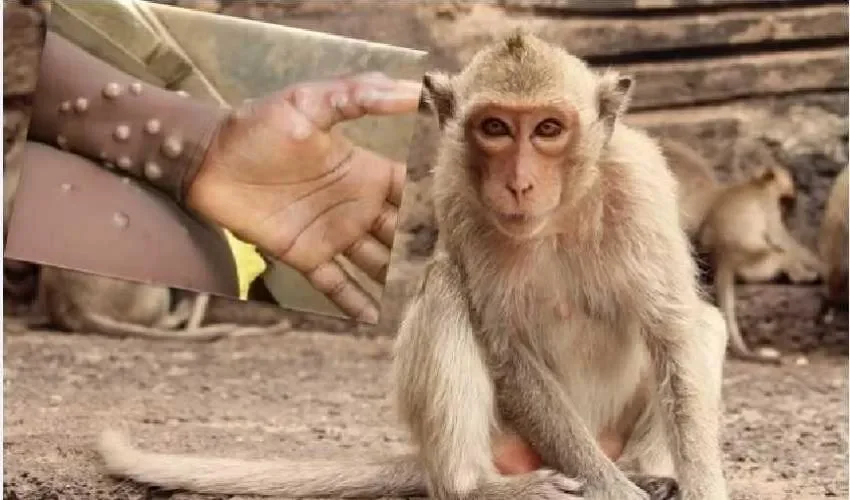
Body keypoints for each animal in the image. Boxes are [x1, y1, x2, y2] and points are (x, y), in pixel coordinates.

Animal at [97, 32, 724, 500]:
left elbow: (673, 332)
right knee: (446, 289)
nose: (519, 183)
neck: (560, 215)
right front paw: (610, 490)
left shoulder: (641, 188)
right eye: (495, 128)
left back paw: (648, 473)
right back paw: (477, 486)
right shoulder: (455, 193)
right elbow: (506, 348)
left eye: (548, 128)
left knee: (704, 324)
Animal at [696, 164, 820, 364]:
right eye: (789, 181)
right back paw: (804, 277)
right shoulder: (770, 206)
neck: (757, 184)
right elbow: (782, 239)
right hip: (757, 262)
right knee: (781, 254)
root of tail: (725, 256)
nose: (793, 192)